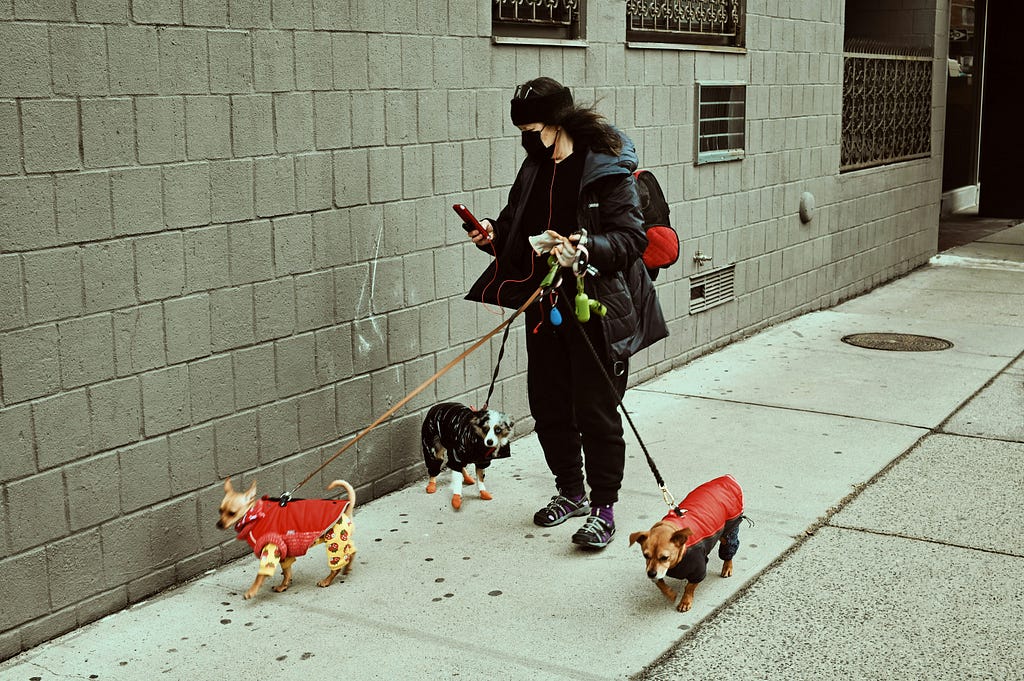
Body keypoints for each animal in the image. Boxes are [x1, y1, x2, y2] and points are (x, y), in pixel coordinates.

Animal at [216, 475, 356, 598]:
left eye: (232, 513)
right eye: (220, 511)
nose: (218, 524)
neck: (255, 515)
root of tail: (346, 513)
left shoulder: (271, 550)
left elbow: (261, 574)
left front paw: (252, 590)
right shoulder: (284, 552)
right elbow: (287, 573)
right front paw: (283, 586)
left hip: (335, 542)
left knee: (337, 565)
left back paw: (327, 580)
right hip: (342, 540)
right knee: (352, 551)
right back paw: (347, 568)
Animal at [622, 475, 745, 614]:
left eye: (665, 557)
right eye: (645, 555)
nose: (650, 574)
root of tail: (726, 478)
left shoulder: (699, 570)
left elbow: (689, 586)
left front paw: (685, 601)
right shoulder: (656, 570)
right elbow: (660, 583)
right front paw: (670, 593)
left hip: (729, 529)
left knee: (728, 547)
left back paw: (727, 566)